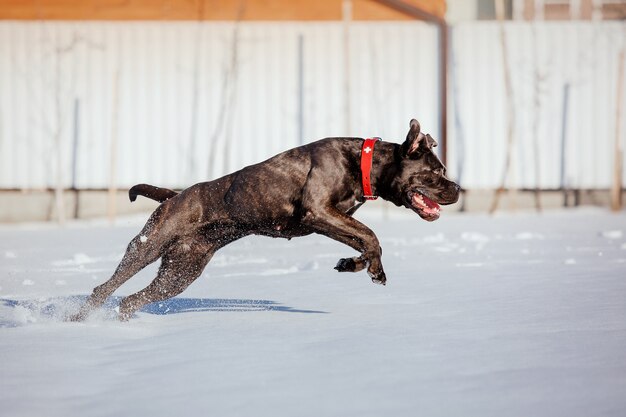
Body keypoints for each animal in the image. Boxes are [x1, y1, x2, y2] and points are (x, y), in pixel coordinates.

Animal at [70, 118, 458, 320]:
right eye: (437, 171)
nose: (457, 188)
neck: (361, 163)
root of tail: (175, 195)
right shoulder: (319, 211)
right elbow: (372, 235)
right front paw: (372, 269)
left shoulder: (331, 219)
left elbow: (364, 241)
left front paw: (354, 265)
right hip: (148, 246)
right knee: (106, 287)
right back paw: (77, 321)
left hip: (180, 272)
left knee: (132, 299)